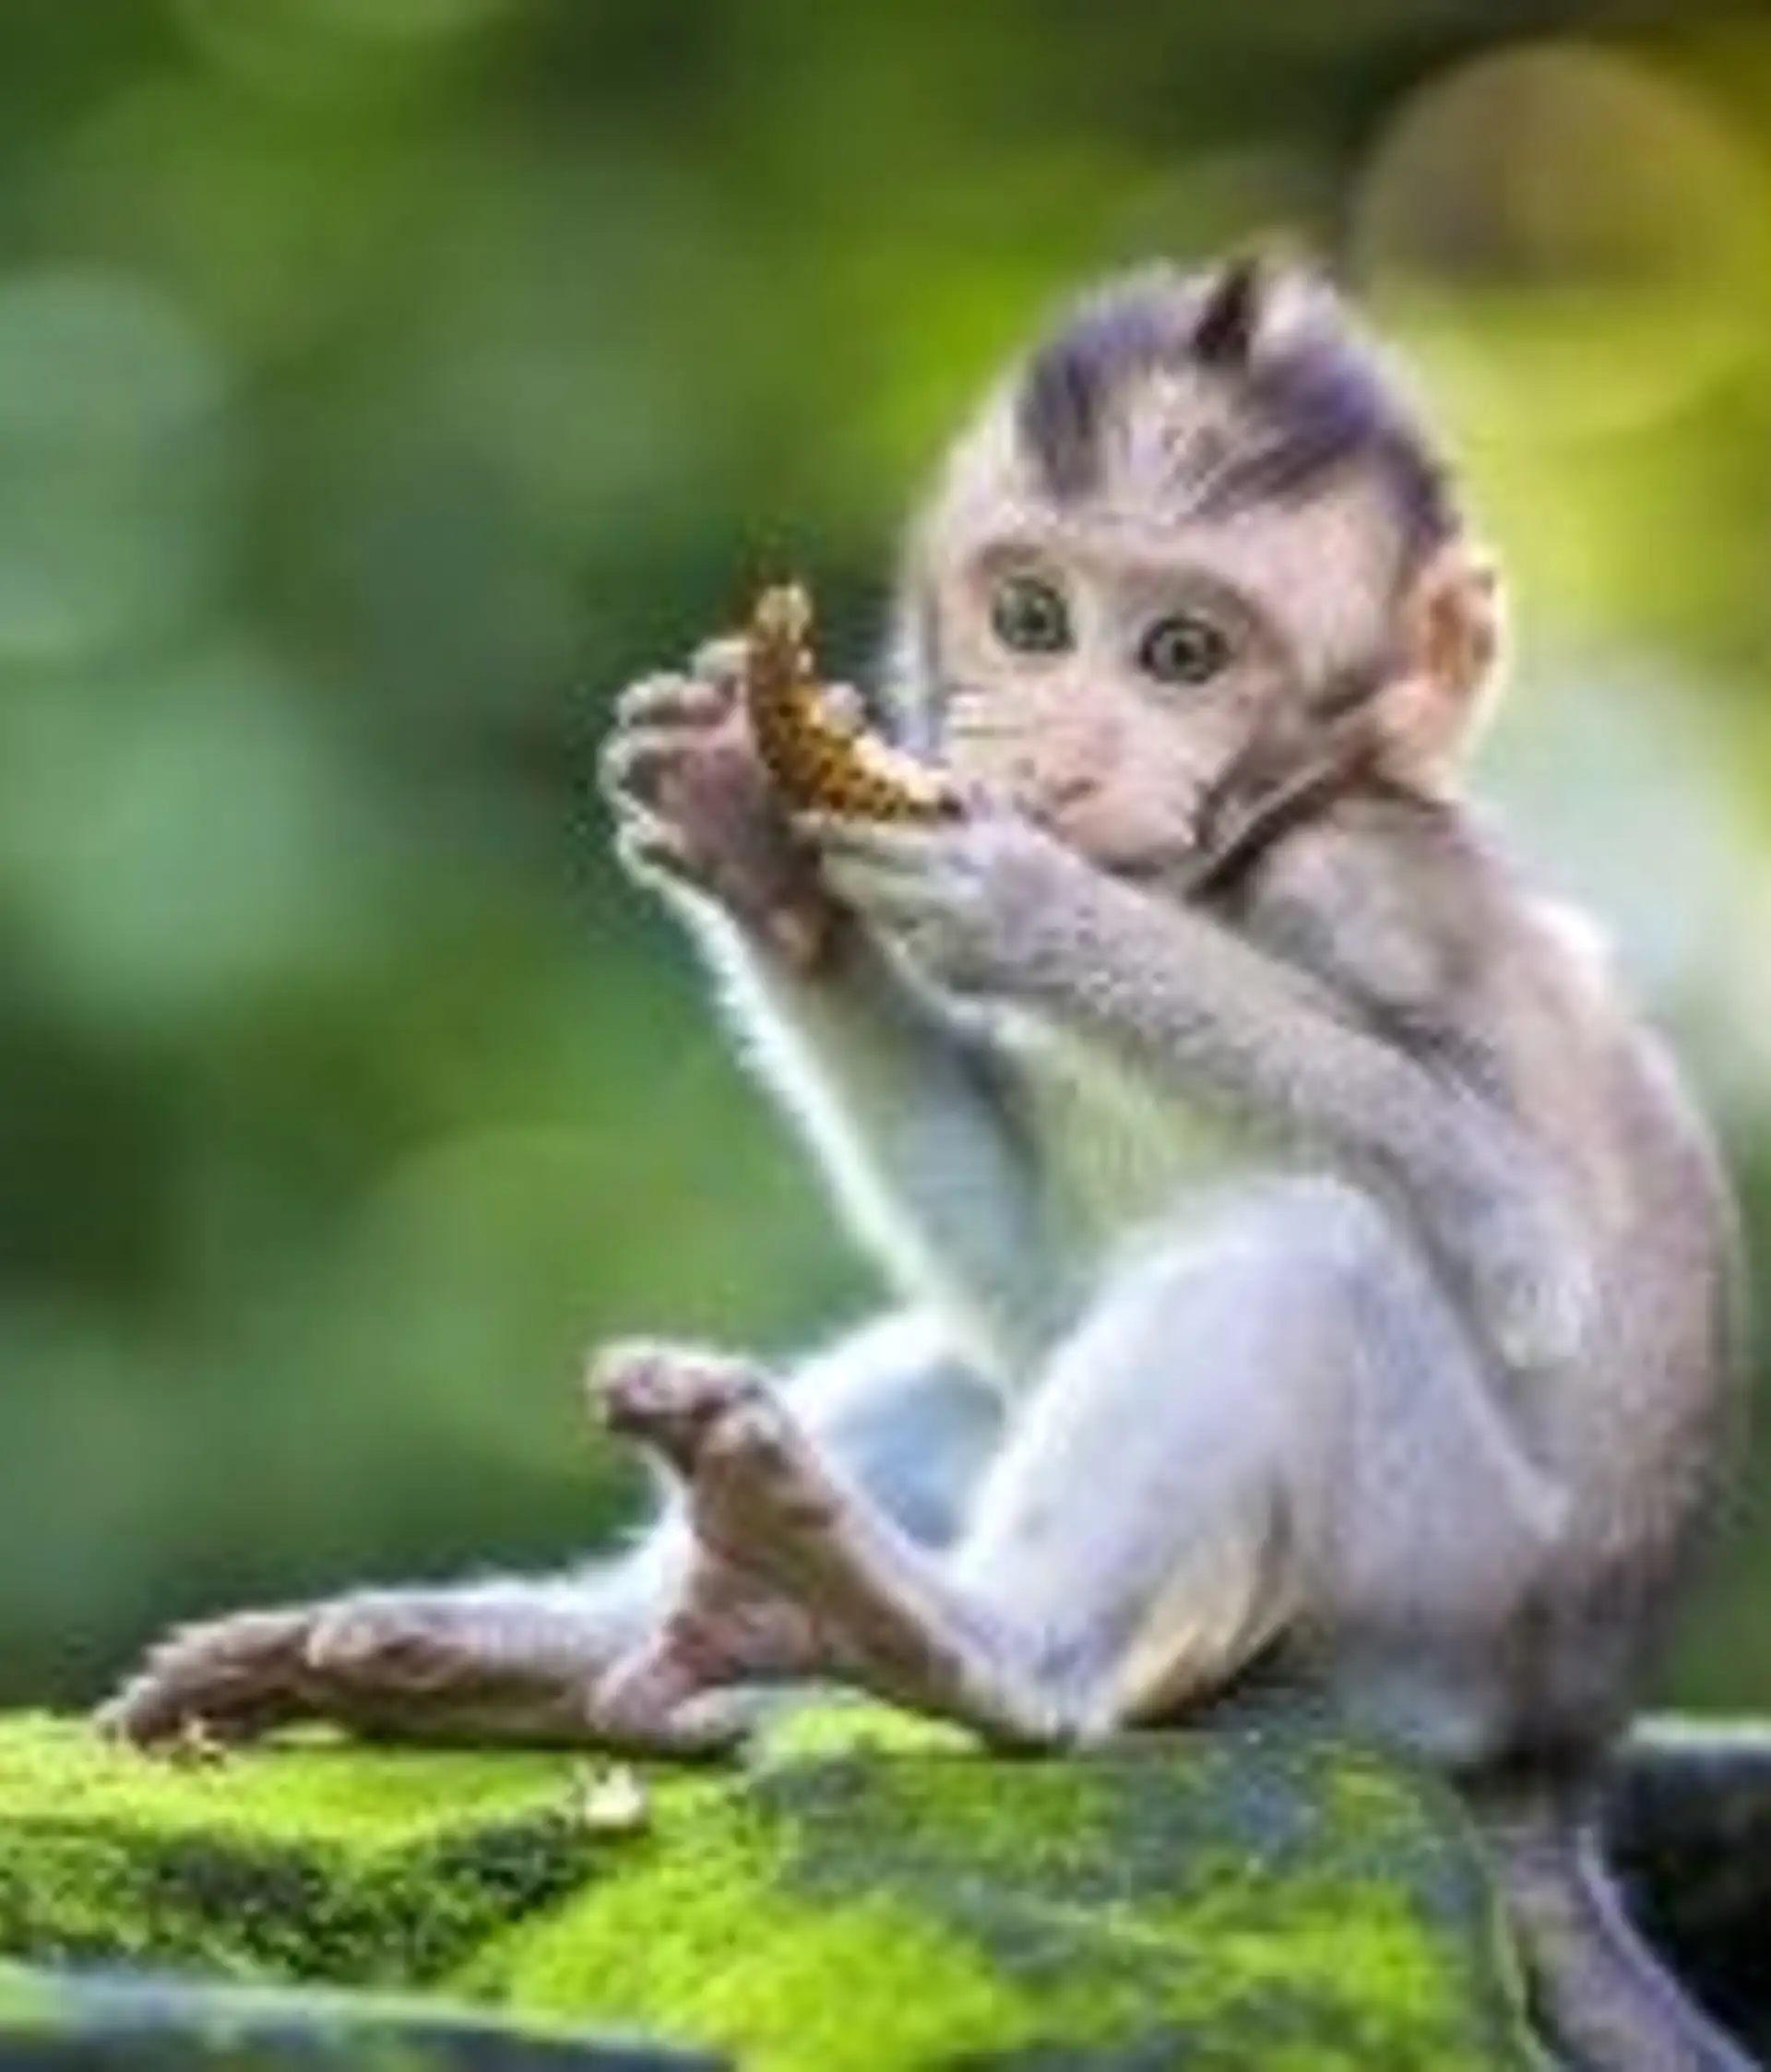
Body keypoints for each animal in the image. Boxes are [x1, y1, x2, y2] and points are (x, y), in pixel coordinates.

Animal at [99, 255, 1749, 2072]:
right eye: (1031, 616)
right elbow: (1029, 1278)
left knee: (1300, 1259)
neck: (1234, 873)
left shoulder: (1372, 892)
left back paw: (967, 1642)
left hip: (1421, 1605)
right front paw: (761, 853)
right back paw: (555, 1656)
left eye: (1182, 652)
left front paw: (1026, 907)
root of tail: (1548, 1768)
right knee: (976, 1369)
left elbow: (1523, 1242)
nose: (1053, 753)